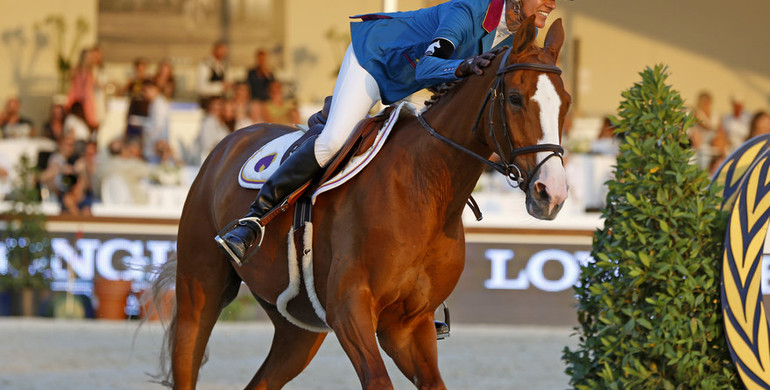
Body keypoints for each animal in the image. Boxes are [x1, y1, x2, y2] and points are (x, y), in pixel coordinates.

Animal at [153, 16, 568, 390]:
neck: (427, 187)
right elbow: (378, 379)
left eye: (565, 104)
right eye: (514, 99)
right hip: (198, 291)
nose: (553, 193)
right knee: (189, 350)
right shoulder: (350, 310)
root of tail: (230, 139)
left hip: (298, 327)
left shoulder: (409, 326)